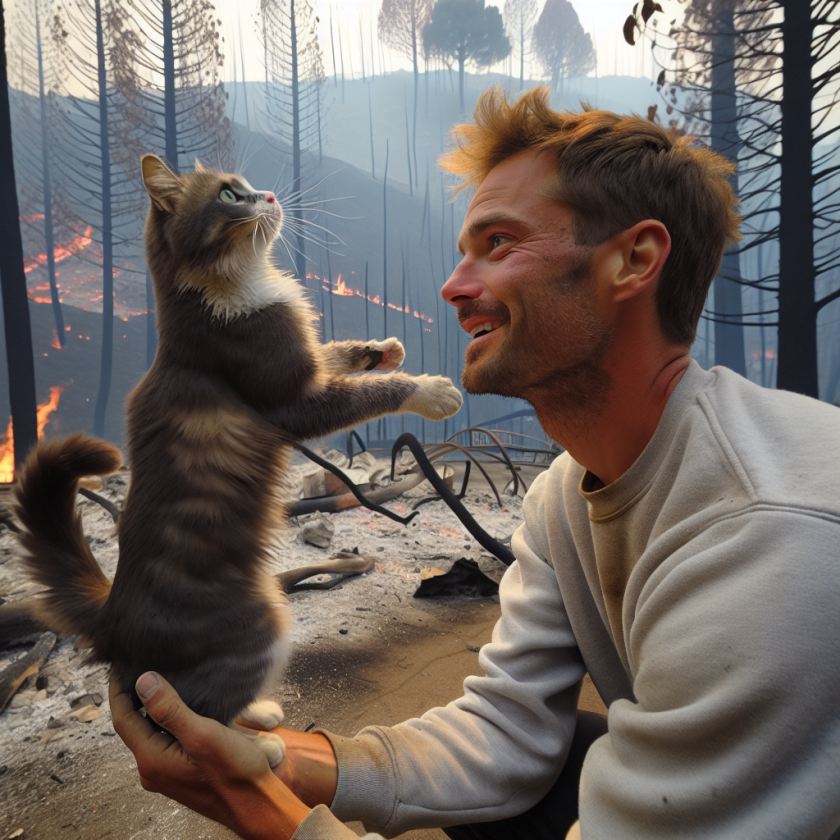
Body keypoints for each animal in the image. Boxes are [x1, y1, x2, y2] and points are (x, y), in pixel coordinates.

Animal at [13, 154, 462, 764]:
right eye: (230, 195)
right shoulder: (293, 400)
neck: (236, 286)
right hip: (261, 622)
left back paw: (263, 716)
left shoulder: (305, 361)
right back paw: (261, 748)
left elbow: (335, 354)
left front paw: (382, 348)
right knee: (196, 714)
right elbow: (374, 393)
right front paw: (433, 390)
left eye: (248, 185)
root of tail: (113, 618)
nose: (268, 195)